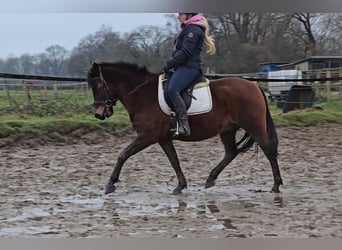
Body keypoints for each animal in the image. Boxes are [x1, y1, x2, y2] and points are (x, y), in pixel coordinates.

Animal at [88, 62, 284, 195]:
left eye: (98, 85)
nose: (98, 113)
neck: (142, 94)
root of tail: (254, 85)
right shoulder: (163, 138)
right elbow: (174, 160)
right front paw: (180, 186)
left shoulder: (147, 136)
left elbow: (123, 155)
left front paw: (110, 184)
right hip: (228, 129)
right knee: (231, 152)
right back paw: (210, 179)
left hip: (254, 126)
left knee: (269, 150)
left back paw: (276, 185)